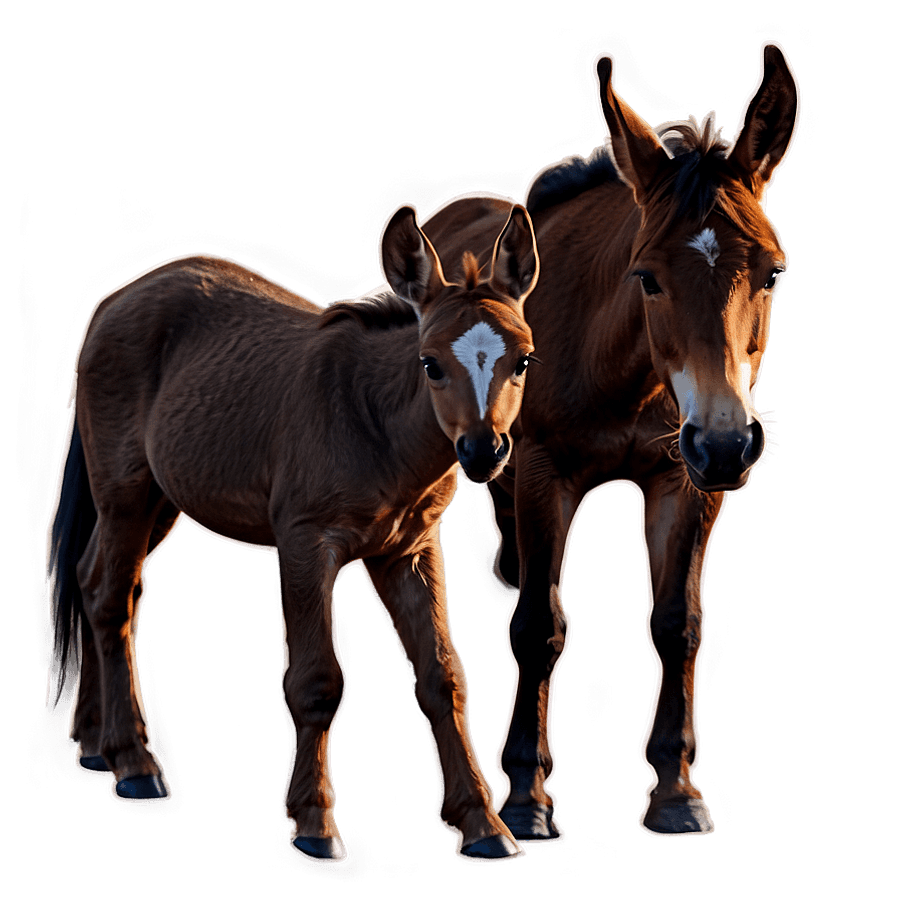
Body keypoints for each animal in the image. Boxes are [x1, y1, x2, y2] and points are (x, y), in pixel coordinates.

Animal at [46, 202, 541, 863]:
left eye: (522, 359)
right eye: (431, 362)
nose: (484, 450)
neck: (372, 420)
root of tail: (112, 302)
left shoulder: (408, 551)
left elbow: (443, 676)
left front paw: (484, 824)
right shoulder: (307, 544)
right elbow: (316, 682)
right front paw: (315, 822)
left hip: (159, 500)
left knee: (93, 578)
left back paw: (95, 743)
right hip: (124, 494)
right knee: (108, 597)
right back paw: (133, 762)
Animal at [418, 42, 799, 839]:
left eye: (772, 271)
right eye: (647, 277)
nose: (728, 443)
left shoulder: (682, 481)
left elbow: (678, 623)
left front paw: (676, 790)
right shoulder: (544, 473)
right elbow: (539, 627)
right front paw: (527, 794)